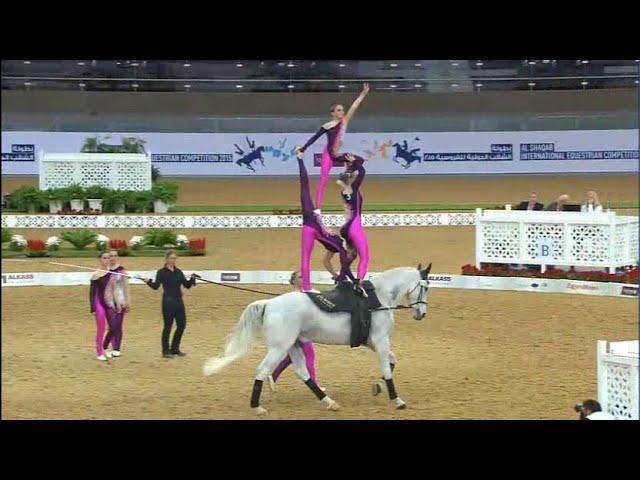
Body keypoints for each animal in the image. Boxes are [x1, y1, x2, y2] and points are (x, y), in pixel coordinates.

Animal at [202, 264, 430, 414]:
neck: (378, 299)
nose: (422, 314)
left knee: (302, 372)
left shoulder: (373, 343)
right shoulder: (381, 341)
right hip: (279, 347)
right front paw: (397, 400)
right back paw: (257, 407)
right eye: (426, 286)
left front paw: (378, 387)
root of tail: (269, 304)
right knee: (262, 370)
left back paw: (329, 402)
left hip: (293, 346)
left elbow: (392, 361)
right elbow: (387, 368)